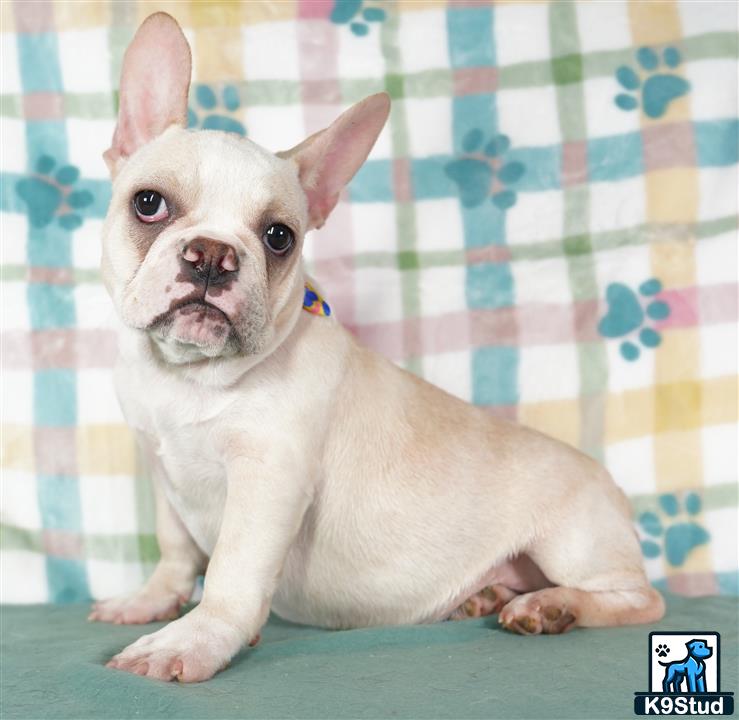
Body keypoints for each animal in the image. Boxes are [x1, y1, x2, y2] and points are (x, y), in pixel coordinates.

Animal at [91, 14, 664, 684]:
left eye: (279, 237)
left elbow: (232, 570)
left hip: (573, 540)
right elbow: (176, 549)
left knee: (640, 598)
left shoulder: (269, 478)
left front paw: (194, 639)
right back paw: (489, 595)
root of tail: (614, 491)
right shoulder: (163, 470)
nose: (212, 254)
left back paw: (550, 607)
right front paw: (152, 600)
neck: (189, 376)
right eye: (148, 203)